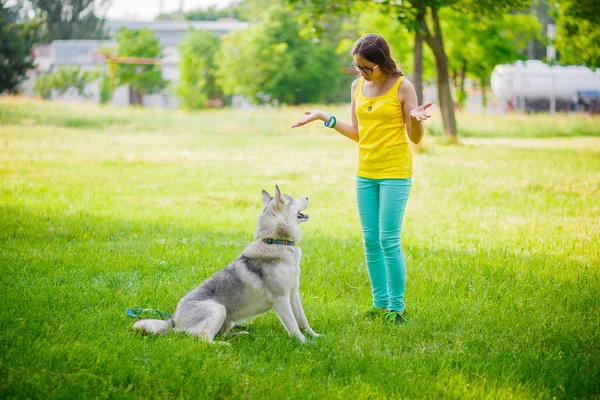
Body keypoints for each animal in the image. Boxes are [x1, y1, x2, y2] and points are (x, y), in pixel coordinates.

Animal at [131, 186, 318, 342]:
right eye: (291, 199)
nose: (308, 196)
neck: (276, 242)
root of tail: (174, 318)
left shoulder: (293, 294)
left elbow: (303, 320)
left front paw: (315, 336)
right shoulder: (281, 299)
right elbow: (293, 326)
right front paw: (305, 343)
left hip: (228, 318)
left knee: (220, 333)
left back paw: (240, 334)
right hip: (218, 309)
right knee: (204, 338)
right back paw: (223, 345)